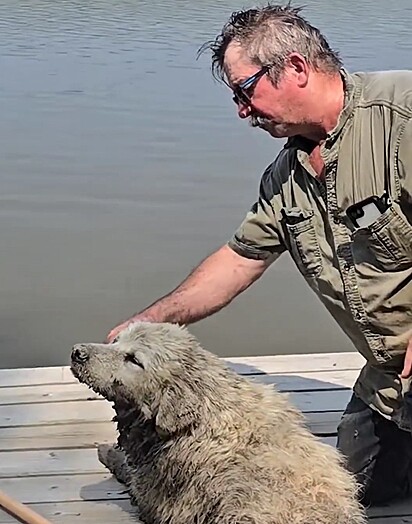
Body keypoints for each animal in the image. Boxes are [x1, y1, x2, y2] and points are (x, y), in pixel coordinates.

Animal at [71, 324, 366, 524]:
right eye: (116, 341)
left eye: (133, 359)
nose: (77, 352)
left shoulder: (155, 493)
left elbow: (127, 472)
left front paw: (108, 452)